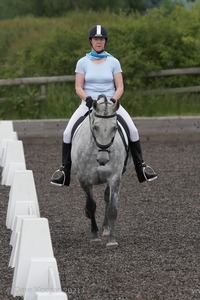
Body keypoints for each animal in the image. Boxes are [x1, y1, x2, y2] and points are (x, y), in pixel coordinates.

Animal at [70, 94, 131, 246]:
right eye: (95, 127)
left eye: (115, 128)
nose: (103, 159)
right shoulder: (84, 179)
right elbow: (91, 205)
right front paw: (94, 235)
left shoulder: (115, 178)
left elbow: (112, 208)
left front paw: (112, 240)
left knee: (106, 198)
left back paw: (106, 228)